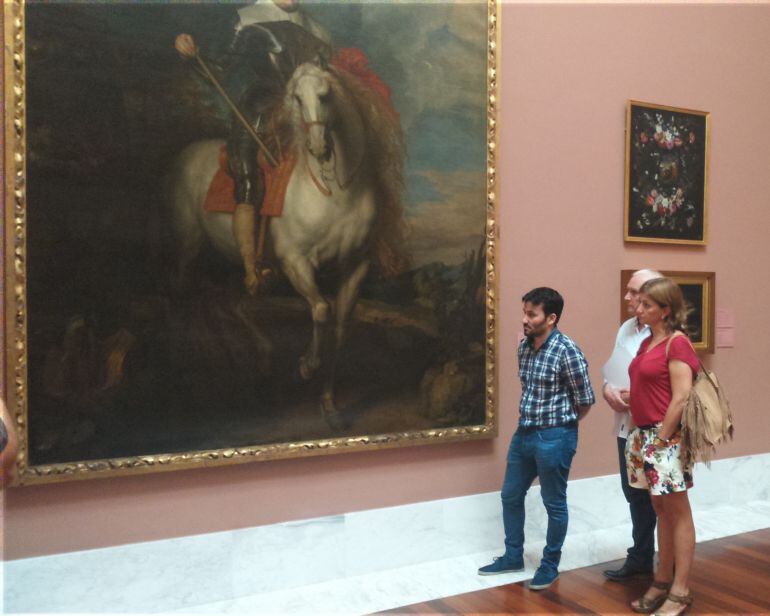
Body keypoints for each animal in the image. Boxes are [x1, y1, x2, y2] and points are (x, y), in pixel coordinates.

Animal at [169, 61, 396, 428]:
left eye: (325, 95)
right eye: (297, 99)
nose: (318, 148)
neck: (337, 194)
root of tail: (185, 154)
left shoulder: (355, 266)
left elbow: (340, 329)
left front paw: (329, 404)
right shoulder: (296, 261)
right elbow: (321, 309)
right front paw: (307, 365)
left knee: (229, 301)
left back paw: (260, 362)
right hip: (188, 246)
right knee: (182, 294)